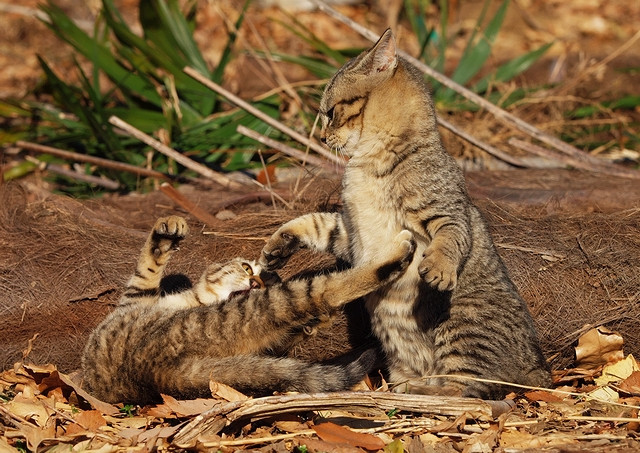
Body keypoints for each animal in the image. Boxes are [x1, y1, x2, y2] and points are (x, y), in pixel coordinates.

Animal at [82, 215, 416, 402]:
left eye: (266, 279)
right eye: (246, 268)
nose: (256, 283)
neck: (196, 300)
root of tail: (153, 372)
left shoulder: (135, 301)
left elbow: (146, 269)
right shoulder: (134, 301)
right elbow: (147, 267)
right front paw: (166, 232)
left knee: (327, 290)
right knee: (322, 293)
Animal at [260, 29, 552, 400]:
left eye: (330, 112)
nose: (323, 138)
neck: (369, 162)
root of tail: (539, 366)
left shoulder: (444, 209)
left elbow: (450, 237)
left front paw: (439, 266)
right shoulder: (351, 234)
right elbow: (313, 222)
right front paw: (278, 245)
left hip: (462, 326)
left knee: (465, 389)